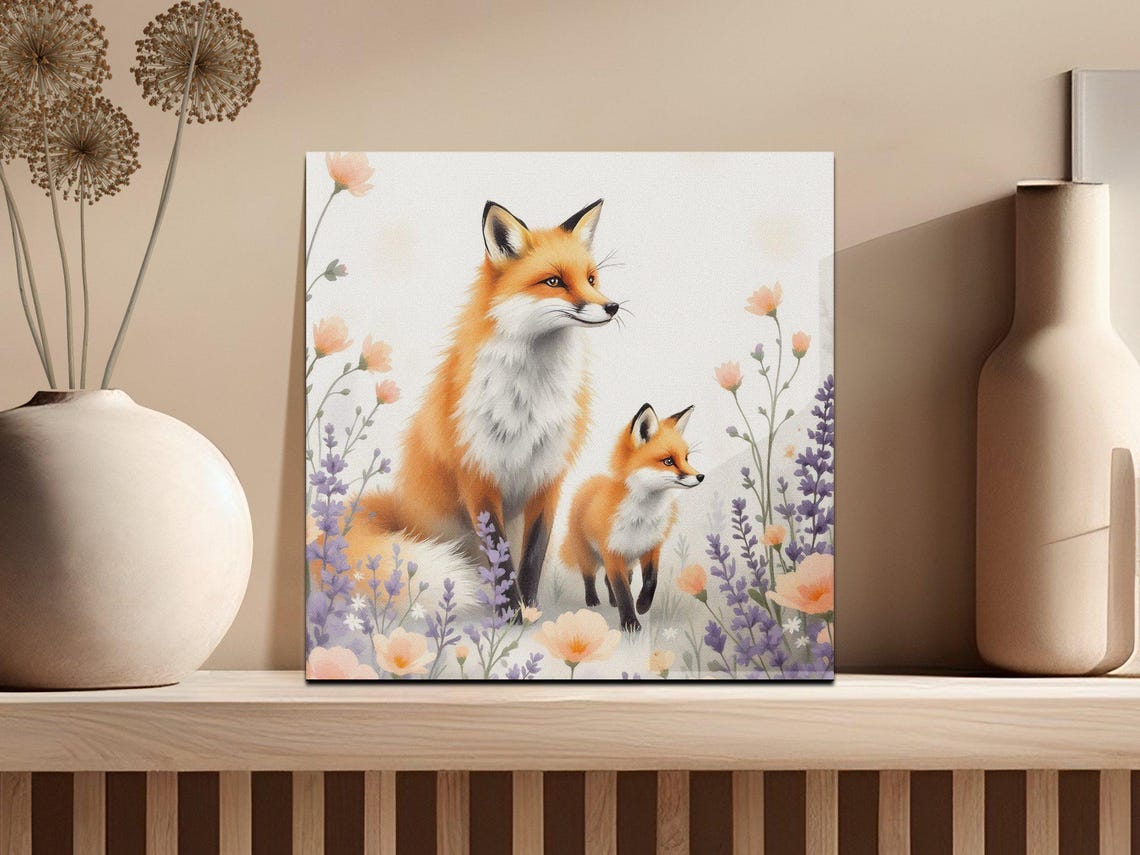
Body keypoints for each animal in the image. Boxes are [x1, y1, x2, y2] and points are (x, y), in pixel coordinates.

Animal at [346, 198, 619, 612]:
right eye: (554, 281)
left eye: (591, 279)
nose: (613, 307)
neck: (530, 397)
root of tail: (401, 511)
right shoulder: (478, 475)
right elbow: (500, 557)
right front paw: (510, 613)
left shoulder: (548, 477)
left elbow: (532, 554)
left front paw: (530, 610)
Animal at [560, 403, 704, 631]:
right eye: (668, 461)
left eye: (686, 458)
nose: (700, 476)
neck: (642, 518)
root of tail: (589, 483)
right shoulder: (612, 552)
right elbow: (622, 591)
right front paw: (630, 622)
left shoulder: (651, 547)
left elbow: (650, 581)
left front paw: (642, 606)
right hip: (588, 555)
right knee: (590, 576)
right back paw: (592, 600)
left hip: (629, 562)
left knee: (608, 580)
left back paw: (611, 601)